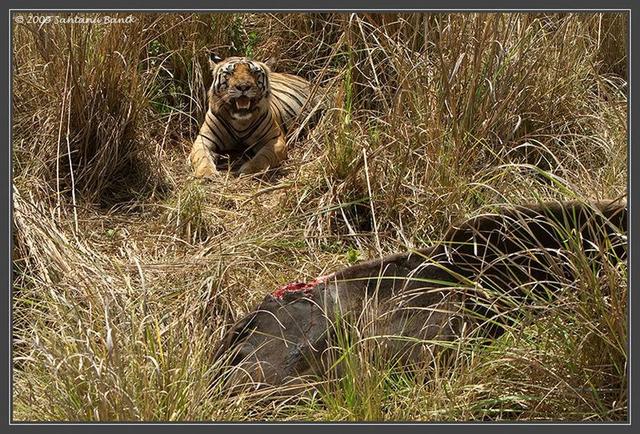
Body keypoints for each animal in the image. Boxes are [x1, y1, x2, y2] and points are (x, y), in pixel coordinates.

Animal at [188, 55, 322, 177]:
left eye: (254, 72)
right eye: (230, 73)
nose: (243, 87)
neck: (240, 122)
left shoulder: (275, 140)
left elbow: (262, 158)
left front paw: (248, 170)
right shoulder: (204, 139)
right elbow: (202, 156)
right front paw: (207, 173)